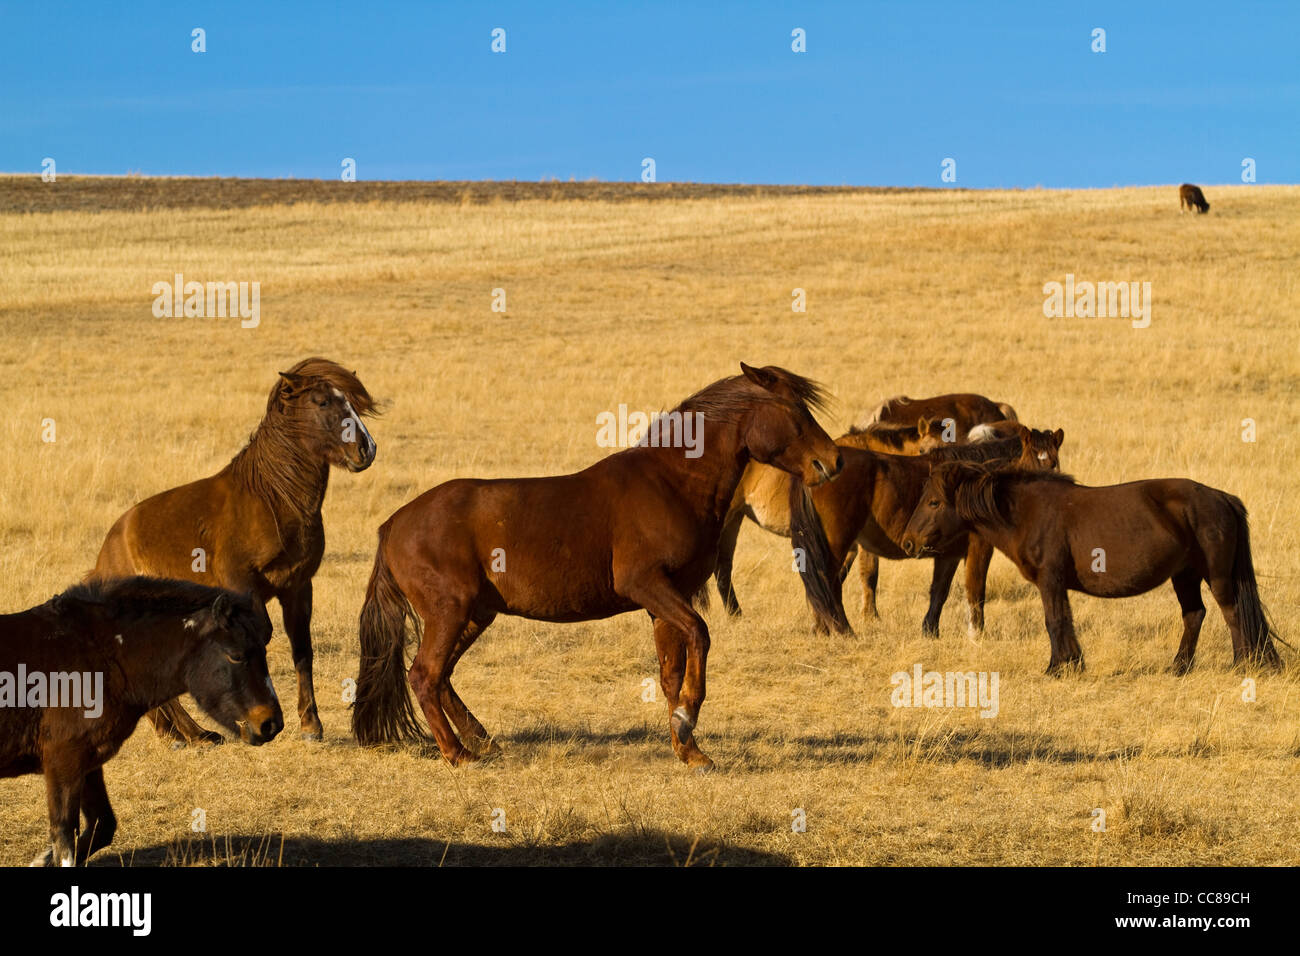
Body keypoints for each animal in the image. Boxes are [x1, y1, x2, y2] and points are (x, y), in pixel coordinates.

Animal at [3, 574, 279, 868]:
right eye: (236, 655)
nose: (271, 723)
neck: (98, 655)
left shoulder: (87, 763)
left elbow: (102, 826)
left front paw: (40, 860)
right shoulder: (63, 762)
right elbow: (65, 840)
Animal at [88, 356, 377, 743]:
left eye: (351, 402)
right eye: (322, 402)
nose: (366, 449)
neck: (270, 499)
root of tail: (107, 552)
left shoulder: (298, 587)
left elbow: (302, 649)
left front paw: (311, 726)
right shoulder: (243, 586)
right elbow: (258, 637)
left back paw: (188, 734)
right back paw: (185, 735)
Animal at [353, 364, 842, 770]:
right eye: (793, 410)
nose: (833, 462)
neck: (671, 482)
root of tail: (394, 523)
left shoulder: (664, 602)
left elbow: (670, 673)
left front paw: (688, 748)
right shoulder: (648, 585)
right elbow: (700, 635)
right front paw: (687, 717)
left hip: (476, 614)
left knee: (442, 678)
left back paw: (482, 741)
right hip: (450, 611)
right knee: (424, 676)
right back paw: (460, 755)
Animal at [785, 424, 1060, 634]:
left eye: (1055, 463)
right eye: (1031, 460)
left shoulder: (949, 554)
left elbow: (939, 592)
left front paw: (930, 631)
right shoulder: (979, 548)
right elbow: (975, 590)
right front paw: (977, 635)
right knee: (826, 582)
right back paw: (838, 629)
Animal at [899, 463, 1284, 671]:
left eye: (934, 502)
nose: (908, 542)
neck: (1025, 512)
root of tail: (1222, 497)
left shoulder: (1050, 580)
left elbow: (1054, 621)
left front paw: (1058, 667)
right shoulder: (1055, 584)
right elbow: (1063, 620)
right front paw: (1072, 663)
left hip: (1217, 576)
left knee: (1232, 612)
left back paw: (1242, 663)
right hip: (1185, 575)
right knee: (1195, 614)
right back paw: (1179, 667)